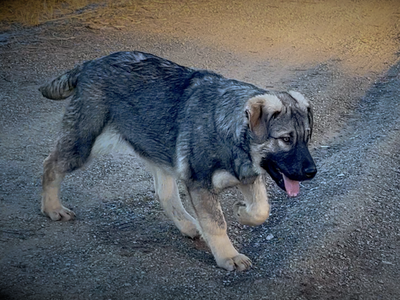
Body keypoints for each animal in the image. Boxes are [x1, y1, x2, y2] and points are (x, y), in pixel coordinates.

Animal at [39, 51, 318, 272]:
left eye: (306, 138)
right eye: (285, 139)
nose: (312, 172)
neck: (229, 130)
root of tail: (90, 63)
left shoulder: (248, 176)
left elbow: (261, 209)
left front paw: (242, 211)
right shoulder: (200, 184)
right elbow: (216, 224)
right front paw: (228, 256)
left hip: (158, 153)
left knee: (165, 195)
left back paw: (188, 225)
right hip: (84, 144)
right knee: (50, 165)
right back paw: (52, 208)